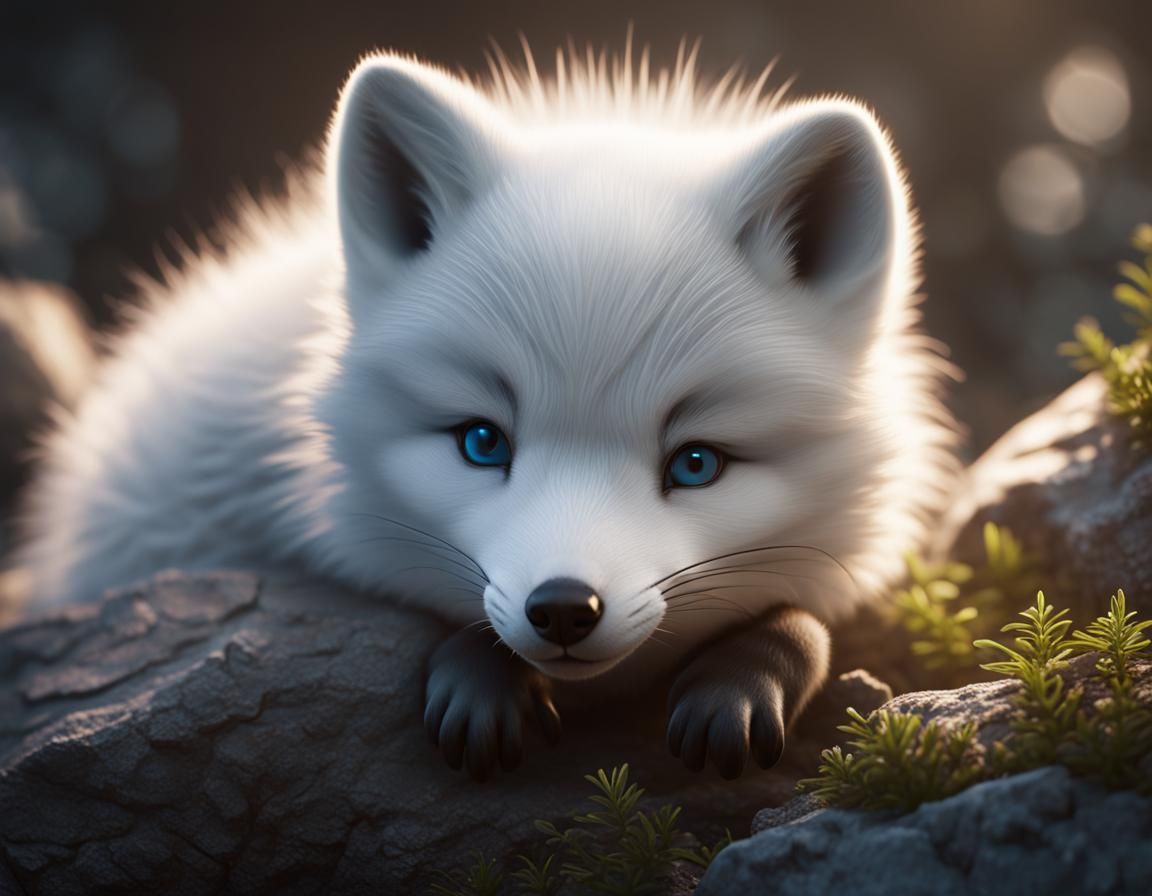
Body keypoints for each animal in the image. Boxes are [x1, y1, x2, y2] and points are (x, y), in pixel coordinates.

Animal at [14, 42, 958, 780]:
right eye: (480, 442)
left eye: (696, 463)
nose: (564, 608)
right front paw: (482, 680)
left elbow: (805, 620)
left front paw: (744, 680)